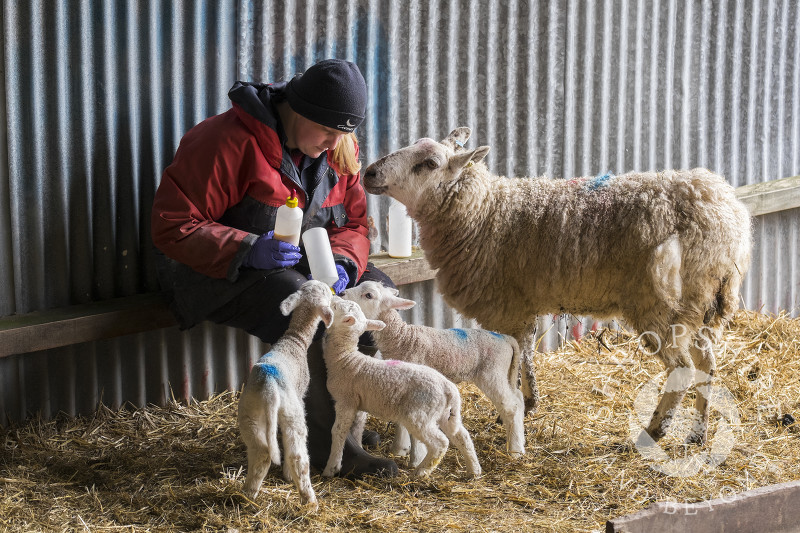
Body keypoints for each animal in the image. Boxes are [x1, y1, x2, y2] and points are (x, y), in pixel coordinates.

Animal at [320, 296, 482, 478]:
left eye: (334, 307)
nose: (334, 295)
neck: (345, 359)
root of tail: (449, 388)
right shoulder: (359, 405)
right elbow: (356, 429)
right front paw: (359, 448)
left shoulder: (345, 401)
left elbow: (338, 431)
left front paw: (331, 468)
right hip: (444, 413)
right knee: (462, 436)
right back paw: (474, 470)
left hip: (419, 414)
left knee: (440, 442)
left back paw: (421, 471)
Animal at [342, 280, 524, 460]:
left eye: (368, 295)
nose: (342, 293)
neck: (403, 339)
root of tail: (507, 339)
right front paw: (400, 449)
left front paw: (412, 454)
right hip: (504, 373)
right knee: (519, 399)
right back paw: (519, 443)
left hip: (492, 373)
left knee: (511, 408)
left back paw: (515, 451)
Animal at [362, 128, 752, 444]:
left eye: (428, 163)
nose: (369, 172)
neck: (485, 213)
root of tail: (728, 219)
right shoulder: (521, 308)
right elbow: (526, 353)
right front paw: (530, 401)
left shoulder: (506, 305)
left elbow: (517, 356)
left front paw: (518, 404)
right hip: (697, 306)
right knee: (706, 362)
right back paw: (698, 432)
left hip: (661, 306)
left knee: (683, 369)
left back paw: (654, 431)